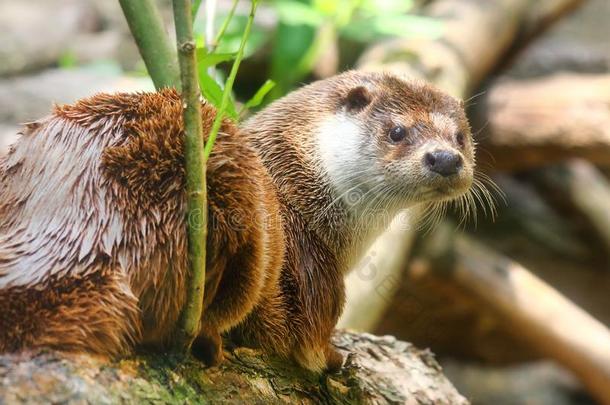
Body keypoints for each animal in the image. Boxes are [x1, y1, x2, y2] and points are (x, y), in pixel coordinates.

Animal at [0, 70, 476, 372]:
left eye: (461, 137)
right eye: (397, 131)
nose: (445, 159)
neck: (301, 187)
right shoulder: (319, 277)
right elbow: (311, 344)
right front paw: (337, 358)